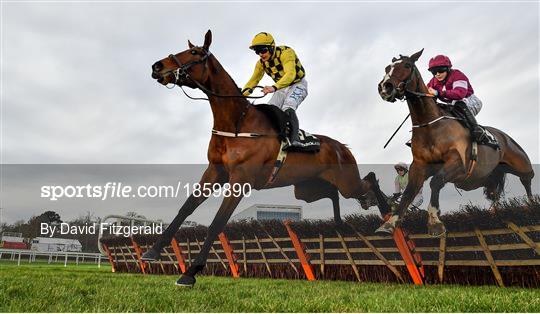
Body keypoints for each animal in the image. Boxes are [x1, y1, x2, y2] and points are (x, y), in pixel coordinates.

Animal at [141, 30, 382, 288]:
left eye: (194, 52)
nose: (157, 66)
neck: (237, 124)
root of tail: (341, 147)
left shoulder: (240, 179)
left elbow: (217, 222)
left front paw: (190, 273)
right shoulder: (215, 171)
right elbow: (185, 208)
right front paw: (153, 251)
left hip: (347, 182)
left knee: (368, 180)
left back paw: (385, 208)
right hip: (306, 189)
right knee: (333, 193)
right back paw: (340, 221)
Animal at [378, 48, 532, 236]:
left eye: (407, 65)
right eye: (387, 68)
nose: (385, 87)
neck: (431, 125)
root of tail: (505, 136)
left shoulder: (459, 163)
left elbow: (436, 181)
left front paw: (435, 222)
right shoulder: (419, 166)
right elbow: (408, 192)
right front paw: (389, 223)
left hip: (522, 164)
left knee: (527, 181)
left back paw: (532, 206)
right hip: (489, 175)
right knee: (494, 193)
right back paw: (494, 212)